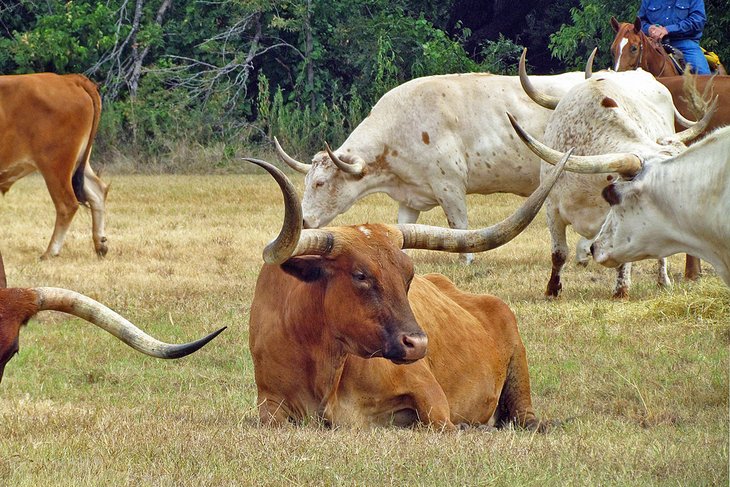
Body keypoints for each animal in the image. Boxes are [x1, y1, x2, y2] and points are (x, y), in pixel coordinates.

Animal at [1, 73, 109, 260]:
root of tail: (68, 79)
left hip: (55, 166)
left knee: (67, 204)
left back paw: (50, 252)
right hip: (80, 161)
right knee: (97, 191)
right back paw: (100, 245)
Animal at [245, 157, 568, 430]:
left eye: (408, 275)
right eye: (360, 275)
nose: (418, 344)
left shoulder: (429, 392)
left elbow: (442, 424)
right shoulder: (269, 404)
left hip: (518, 368)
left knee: (525, 418)